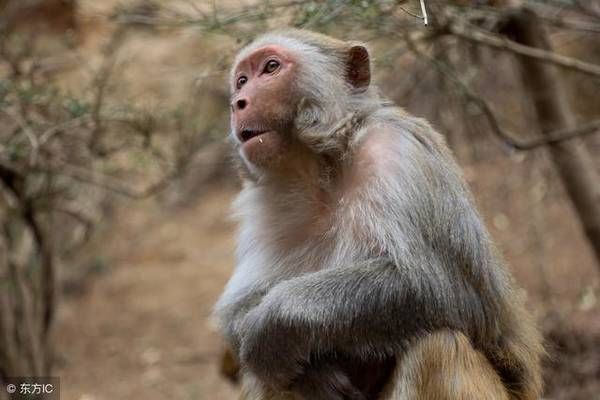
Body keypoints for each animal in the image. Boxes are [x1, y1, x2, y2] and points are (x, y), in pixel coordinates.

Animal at [214, 30, 544, 400]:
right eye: (241, 81)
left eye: (270, 67)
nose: (238, 103)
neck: (324, 169)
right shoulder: (262, 204)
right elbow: (235, 311)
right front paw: (311, 377)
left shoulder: (397, 151)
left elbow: (439, 289)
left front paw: (270, 325)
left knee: (438, 343)